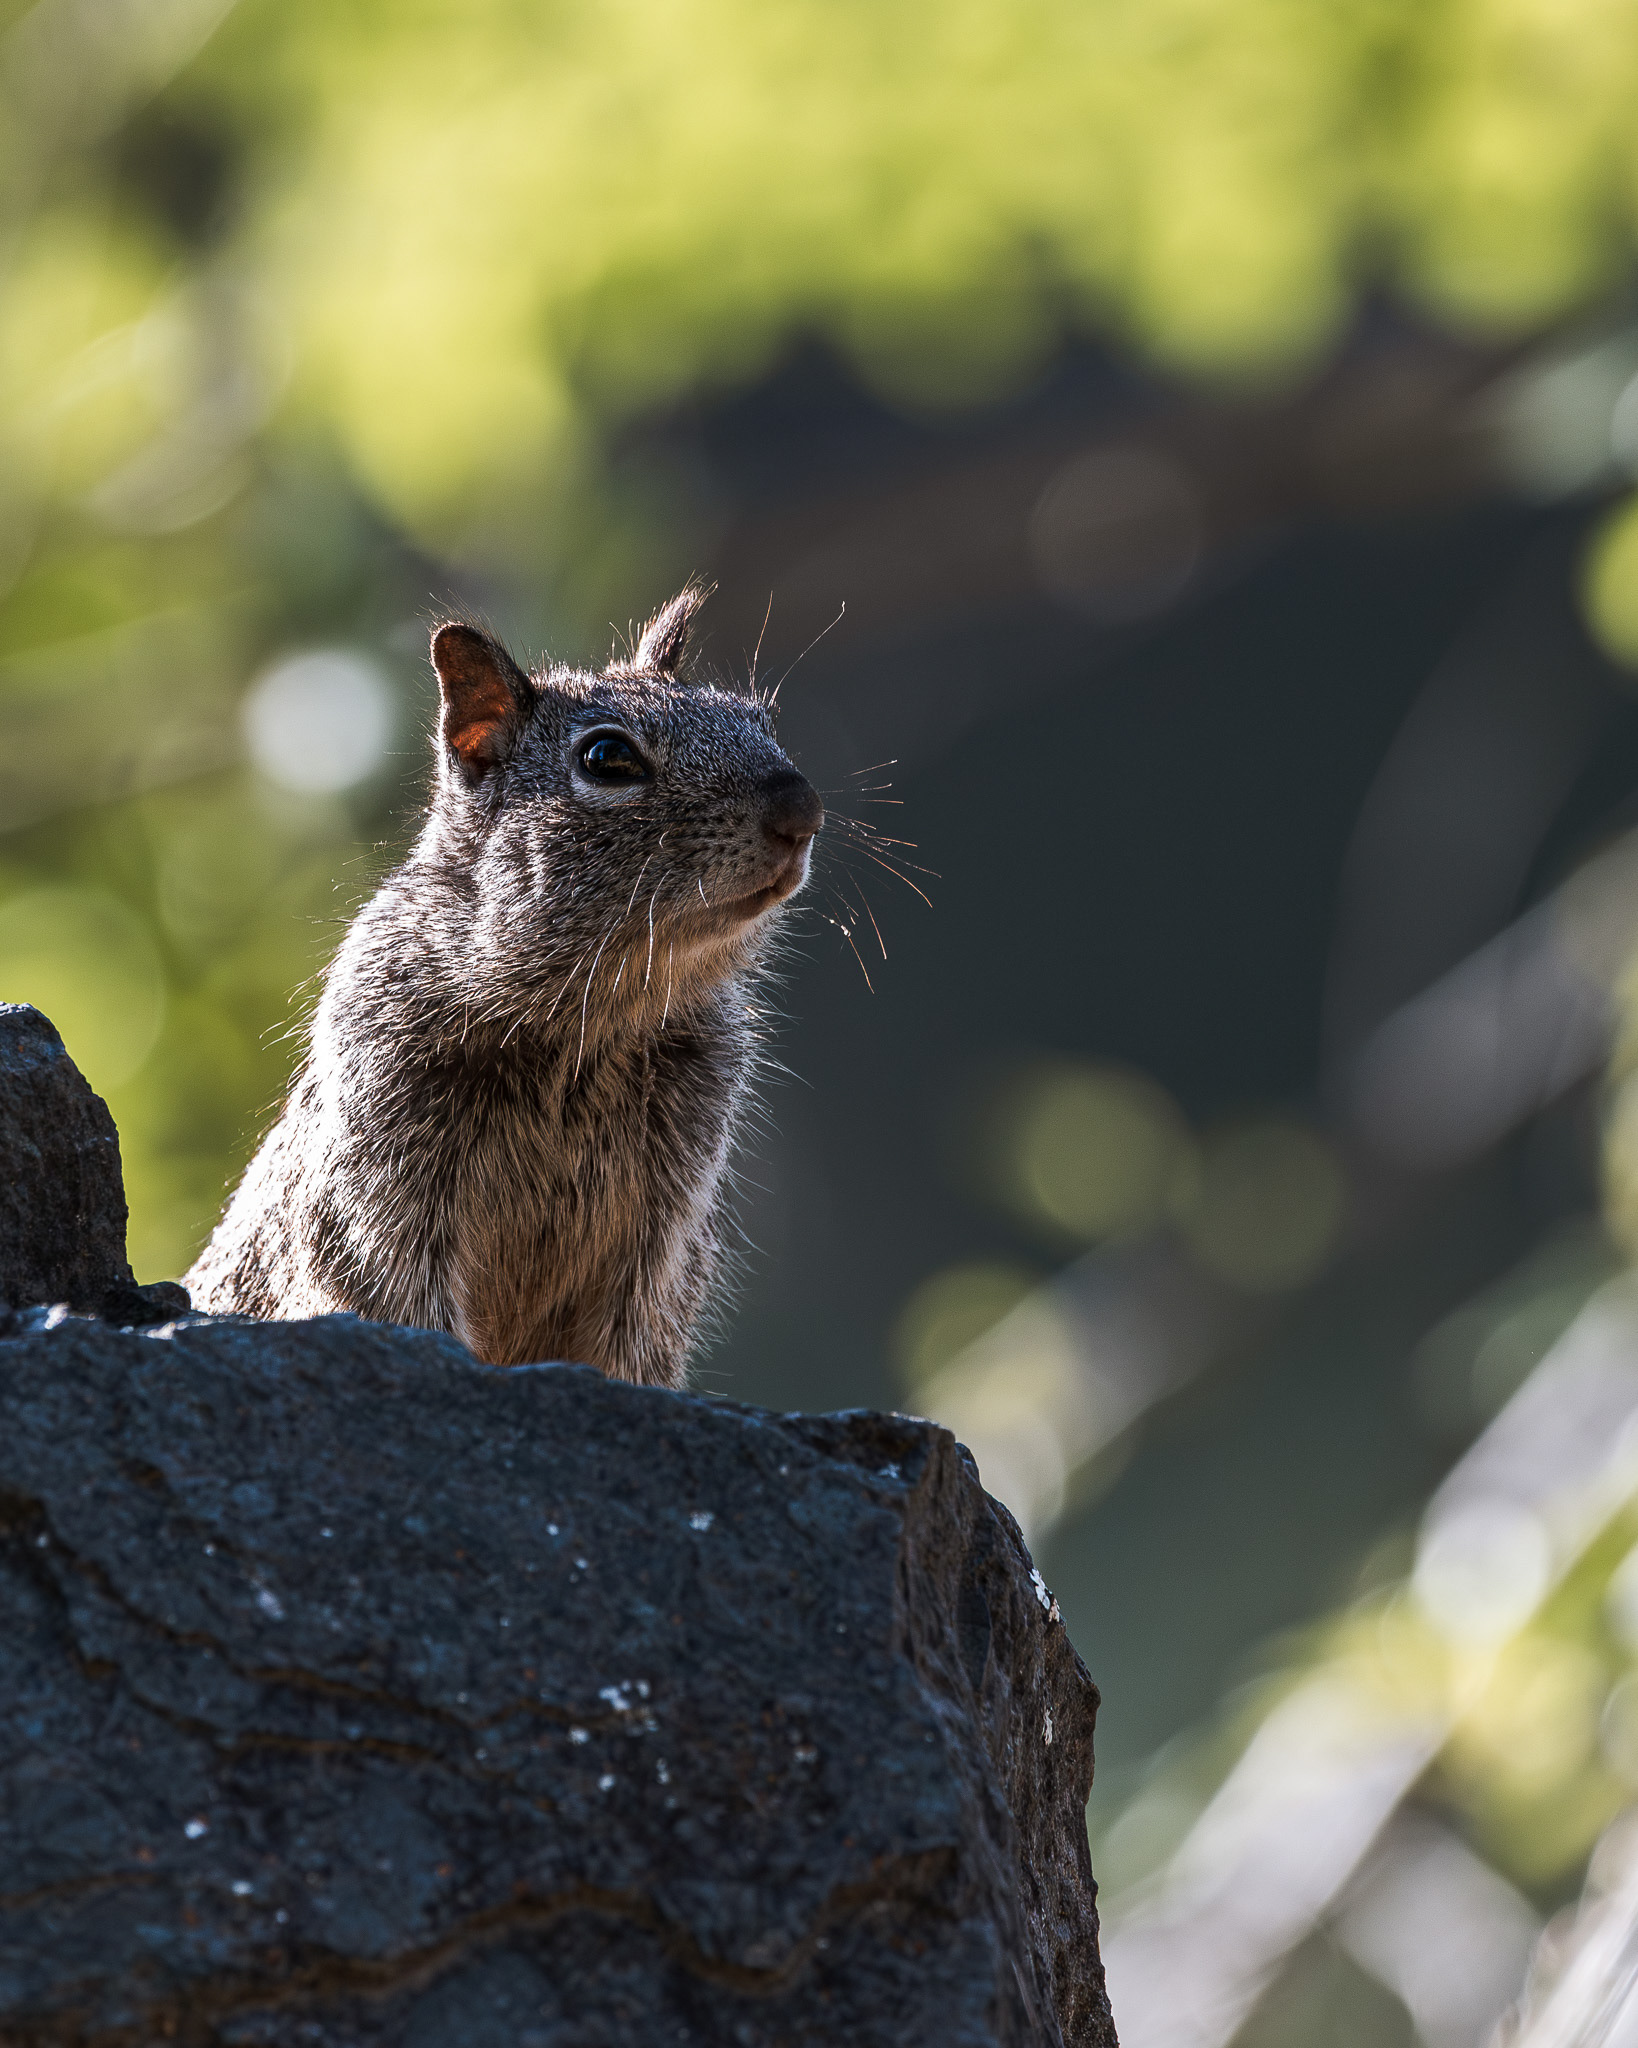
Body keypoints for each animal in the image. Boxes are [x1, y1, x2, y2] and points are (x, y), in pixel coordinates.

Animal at [184, 586, 824, 1387]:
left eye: (760, 721)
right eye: (607, 757)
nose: (802, 809)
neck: (592, 1017)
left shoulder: (665, 1231)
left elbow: (631, 1341)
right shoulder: (380, 1190)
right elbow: (402, 1303)